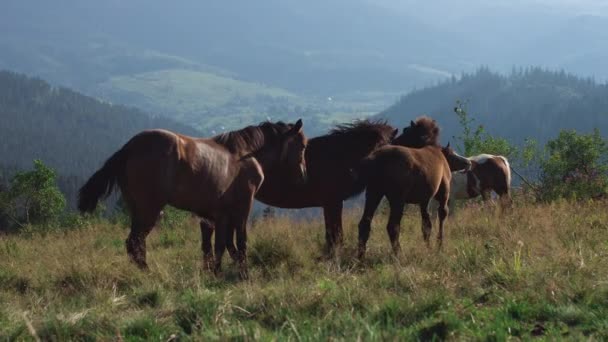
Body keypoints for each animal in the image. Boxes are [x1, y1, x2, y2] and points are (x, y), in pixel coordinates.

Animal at [78, 120, 308, 276]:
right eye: (303, 145)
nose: (303, 175)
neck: (246, 154)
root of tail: (129, 148)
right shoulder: (242, 208)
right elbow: (239, 242)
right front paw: (242, 272)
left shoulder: (219, 214)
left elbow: (220, 245)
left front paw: (216, 271)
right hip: (150, 209)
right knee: (135, 242)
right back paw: (147, 272)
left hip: (137, 209)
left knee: (135, 243)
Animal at [202, 120, 396, 256]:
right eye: (378, 148)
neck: (339, 157)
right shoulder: (332, 203)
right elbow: (335, 236)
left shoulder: (331, 203)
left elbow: (333, 236)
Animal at [356, 118, 470, 260]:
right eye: (452, 153)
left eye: (406, 130)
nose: (467, 162)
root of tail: (374, 160)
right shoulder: (443, 192)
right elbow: (442, 214)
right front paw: (439, 245)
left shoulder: (424, 200)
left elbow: (426, 224)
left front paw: (428, 247)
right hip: (397, 198)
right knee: (392, 226)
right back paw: (399, 254)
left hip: (373, 193)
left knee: (364, 223)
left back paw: (360, 256)